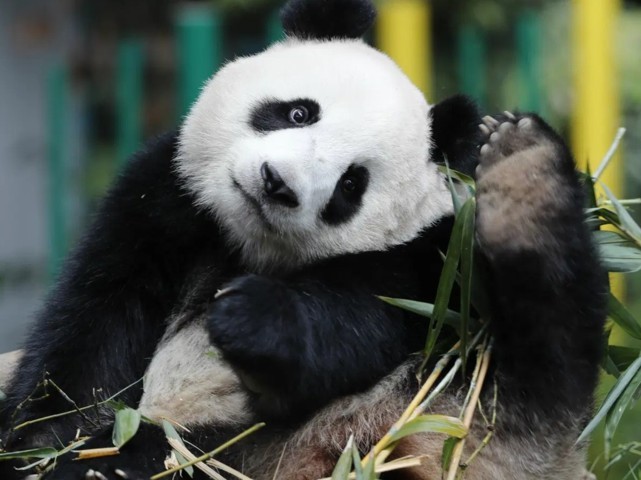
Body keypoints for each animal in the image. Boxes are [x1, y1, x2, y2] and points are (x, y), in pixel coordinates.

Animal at [0, 0, 606, 479]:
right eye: (297, 112)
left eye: (351, 183)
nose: (278, 184)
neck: (243, 245)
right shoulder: (161, 202)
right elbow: (95, 329)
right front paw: (45, 448)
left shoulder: (416, 265)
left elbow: (351, 327)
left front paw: (251, 316)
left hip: (447, 384)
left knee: (544, 355)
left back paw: (524, 176)